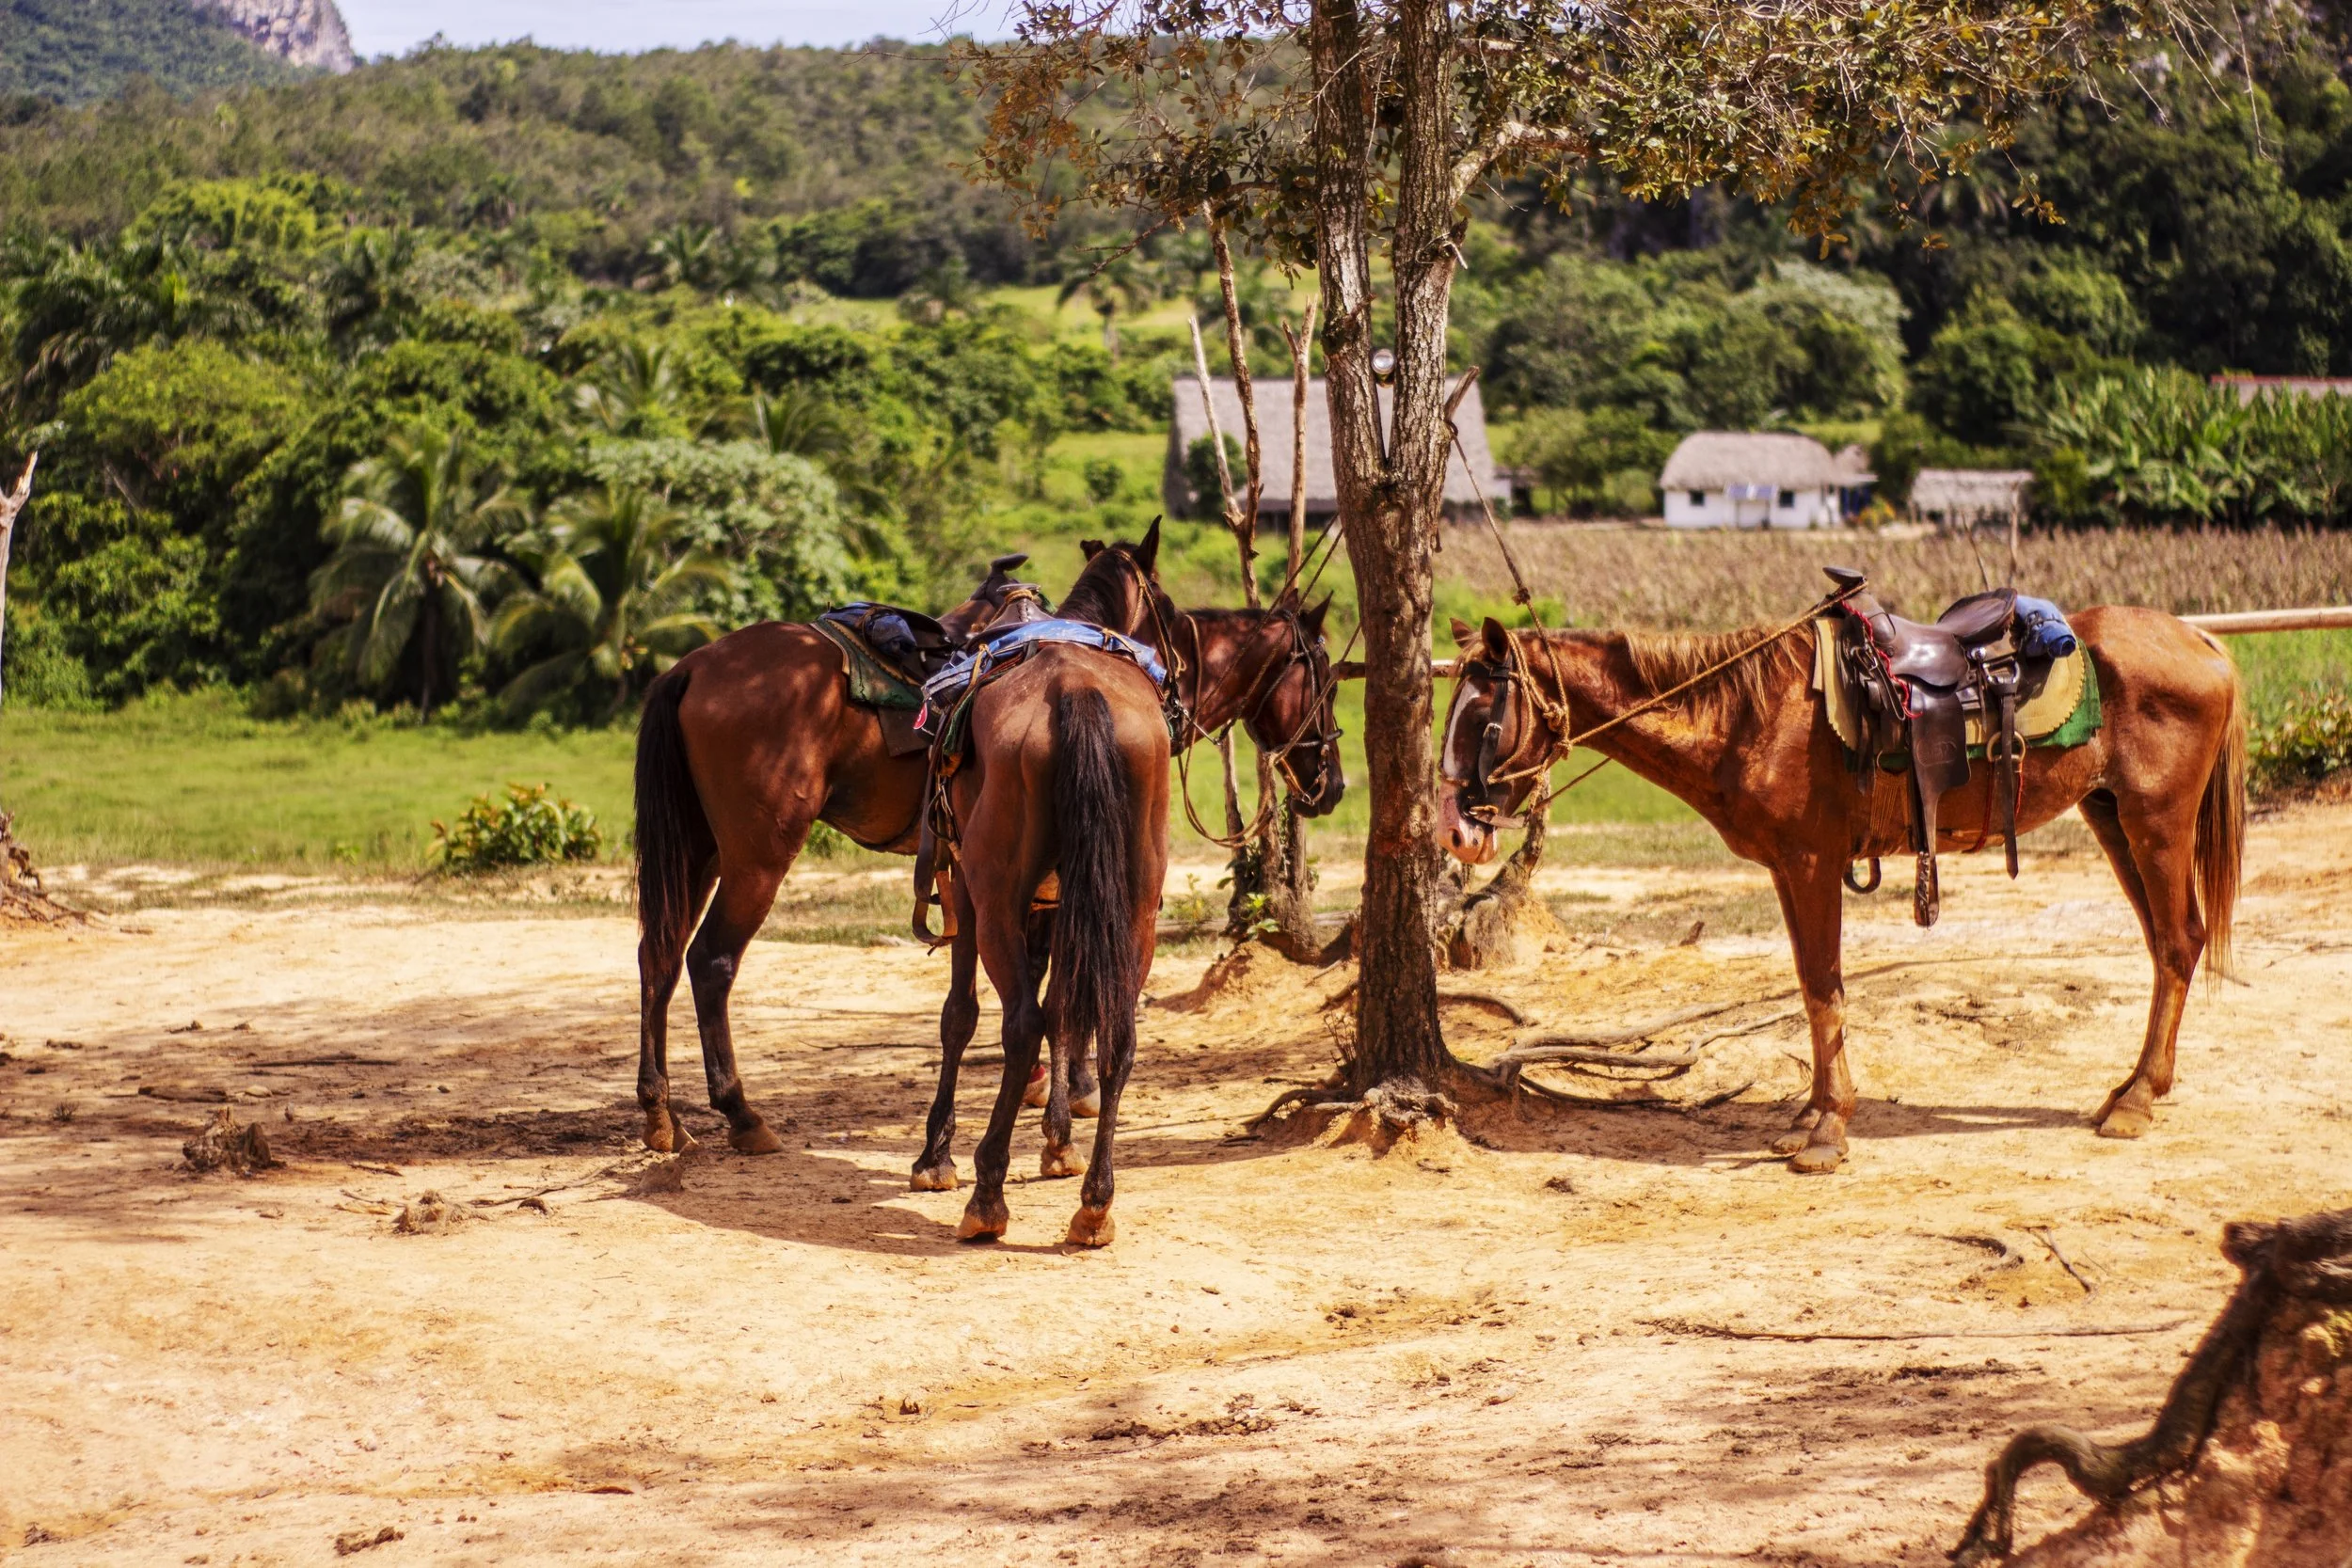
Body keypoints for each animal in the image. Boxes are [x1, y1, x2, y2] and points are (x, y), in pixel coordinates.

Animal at [631, 557, 1039, 1156]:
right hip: (757, 859)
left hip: (697, 851)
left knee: (658, 954)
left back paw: (662, 1115)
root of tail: (690, 668)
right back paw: (740, 1114)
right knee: (710, 960)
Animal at [913, 527, 1349, 1193]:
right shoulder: (1062, 898)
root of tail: (1075, 691)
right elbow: (1065, 1010)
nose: (1334, 784)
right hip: (1132, 904)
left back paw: (990, 1189)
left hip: (998, 904)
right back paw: (1095, 1195)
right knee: (1113, 1030)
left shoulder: (972, 888)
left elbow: (967, 1014)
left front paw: (939, 1155)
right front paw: (1057, 1139)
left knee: (1023, 1024)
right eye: (1326, 681)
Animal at [1438, 605, 2244, 1175]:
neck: (1750, 715)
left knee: (2178, 942)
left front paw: (1827, 1130)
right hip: (2111, 817)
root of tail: (2201, 641)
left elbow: (1825, 987)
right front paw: (1810, 1113)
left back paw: (2135, 1100)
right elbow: (1807, 986)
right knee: (2168, 945)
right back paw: (2133, 1087)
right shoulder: (1788, 870)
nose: (1455, 830)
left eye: (1483, 718)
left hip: (2155, 823)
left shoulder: (1810, 862)